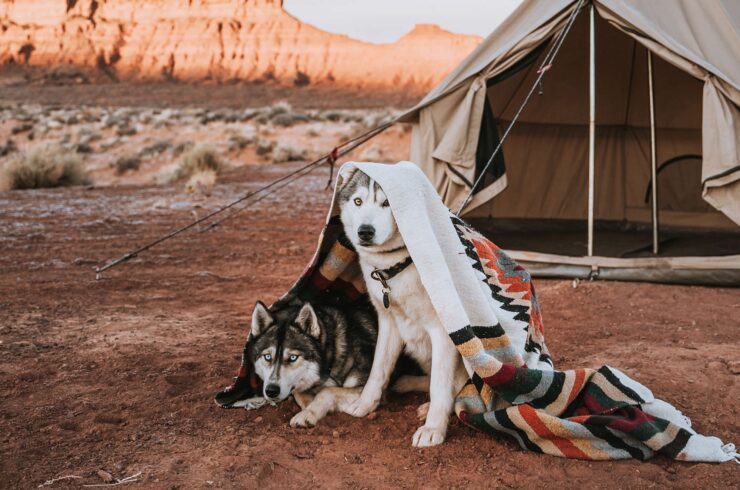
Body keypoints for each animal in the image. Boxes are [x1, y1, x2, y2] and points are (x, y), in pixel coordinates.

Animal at [249, 296, 424, 426]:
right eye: (267, 357)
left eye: (293, 357)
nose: (271, 391)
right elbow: (300, 392)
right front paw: (310, 407)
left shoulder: (367, 388)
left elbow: (328, 391)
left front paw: (309, 413)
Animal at [336, 169, 468, 448]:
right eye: (357, 201)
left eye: (388, 202)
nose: (365, 231)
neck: (396, 266)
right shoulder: (388, 323)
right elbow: (378, 369)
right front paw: (365, 404)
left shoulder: (445, 331)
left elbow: (440, 386)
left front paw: (433, 428)